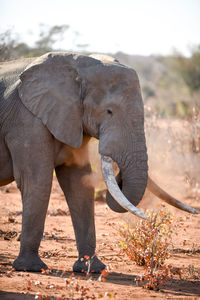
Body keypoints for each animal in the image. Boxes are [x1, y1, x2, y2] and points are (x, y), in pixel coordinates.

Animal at [0, 52, 198, 274]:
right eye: (109, 111)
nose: (120, 175)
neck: (75, 66)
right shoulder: (26, 120)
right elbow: (37, 181)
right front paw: (31, 268)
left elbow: (78, 184)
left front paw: (91, 269)